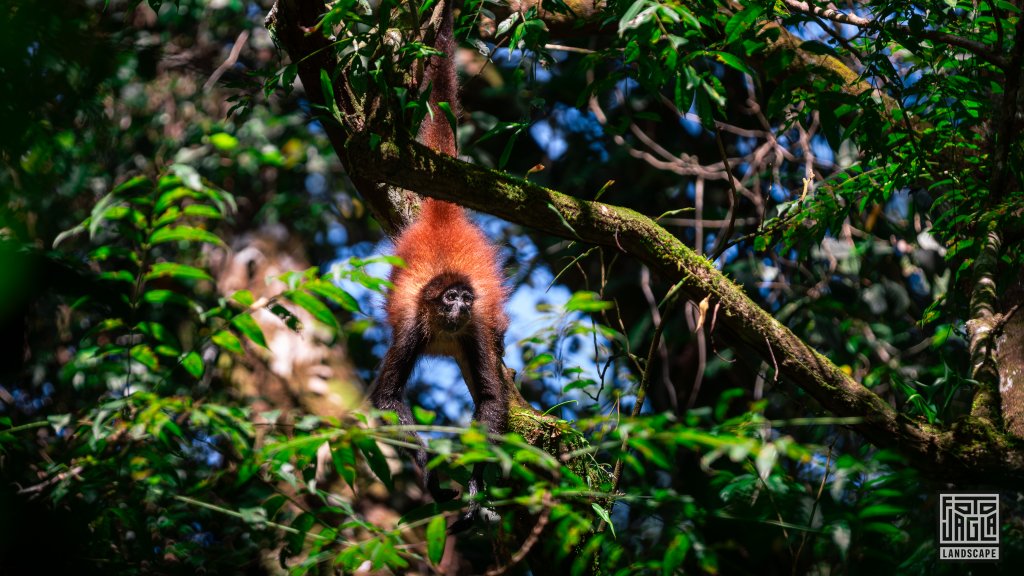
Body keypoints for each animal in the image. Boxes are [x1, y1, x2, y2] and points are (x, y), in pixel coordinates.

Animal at [369, 0, 510, 529]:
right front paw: (428, 470)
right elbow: (388, 399)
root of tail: (441, 218)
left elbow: (491, 402)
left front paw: (474, 484)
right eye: (449, 298)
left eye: (465, 298)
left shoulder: (472, 327)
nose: (460, 304)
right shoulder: (414, 322)